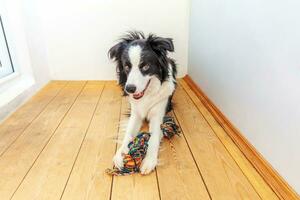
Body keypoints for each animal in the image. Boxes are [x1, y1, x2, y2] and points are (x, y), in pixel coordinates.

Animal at [109, 30, 177, 173]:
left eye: (145, 66)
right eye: (126, 66)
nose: (129, 89)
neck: (147, 95)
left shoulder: (158, 114)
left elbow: (154, 136)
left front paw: (149, 160)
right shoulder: (135, 112)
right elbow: (129, 132)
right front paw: (121, 154)